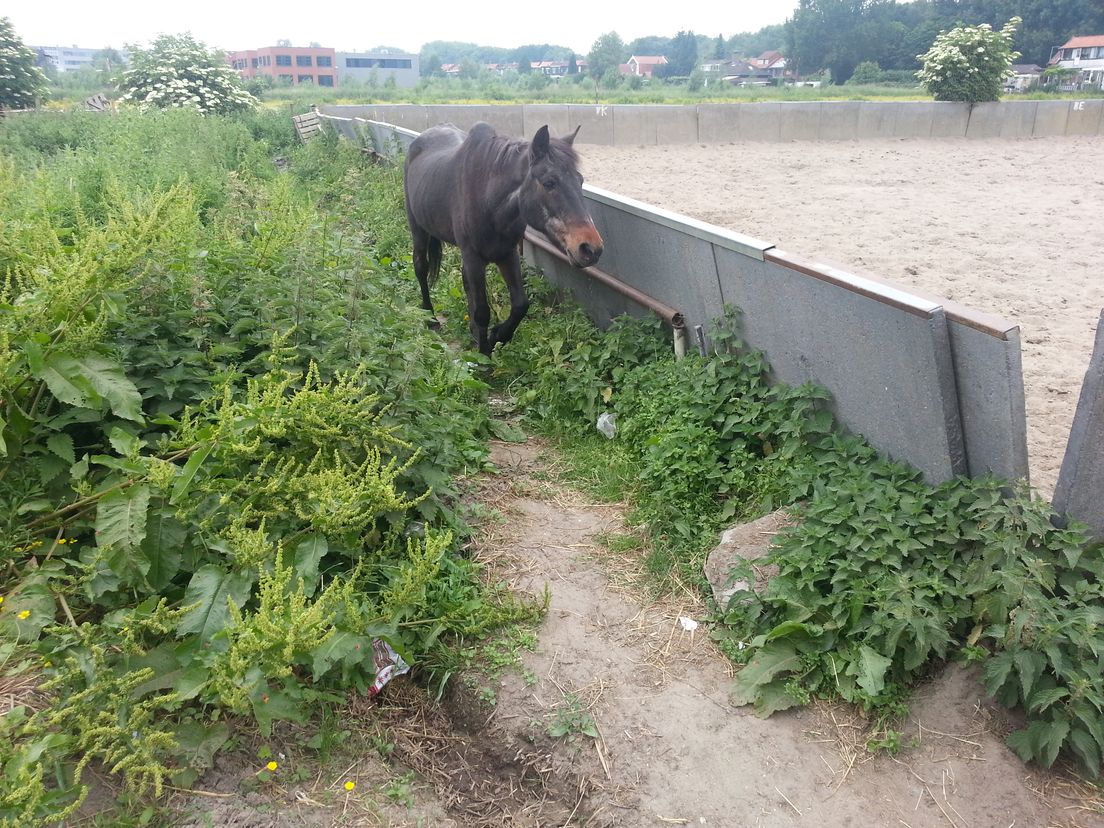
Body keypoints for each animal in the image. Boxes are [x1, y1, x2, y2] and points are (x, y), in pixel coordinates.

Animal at [404, 121, 600, 355]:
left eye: (580, 181)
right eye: (549, 182)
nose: (591, 248)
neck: (487, 199)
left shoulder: (507, 254)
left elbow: (520, 304)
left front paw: (497, 335)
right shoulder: (473, 257)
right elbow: (482, 312)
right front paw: (484, 356)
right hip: (418, 229)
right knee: (420, 267)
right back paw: (431, 318)